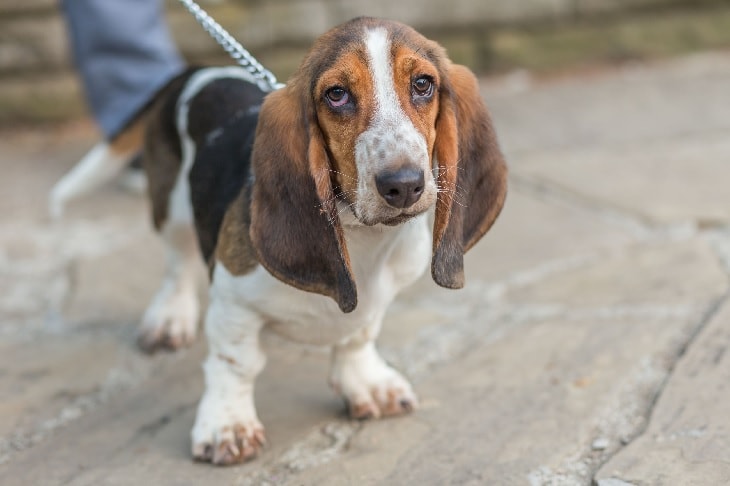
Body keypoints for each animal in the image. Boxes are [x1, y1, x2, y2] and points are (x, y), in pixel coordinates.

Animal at [49, 17, 506, 466]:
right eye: (336, 94)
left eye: (423, 84)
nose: (404, 184)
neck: (362, 237)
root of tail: (195, 71)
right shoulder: (233, 300)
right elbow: (237, 363)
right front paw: (228, 426)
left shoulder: (378, 300)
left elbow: (358, 335)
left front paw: (367, 383)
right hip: (172, 210)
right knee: (178, 264)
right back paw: (169, 320)